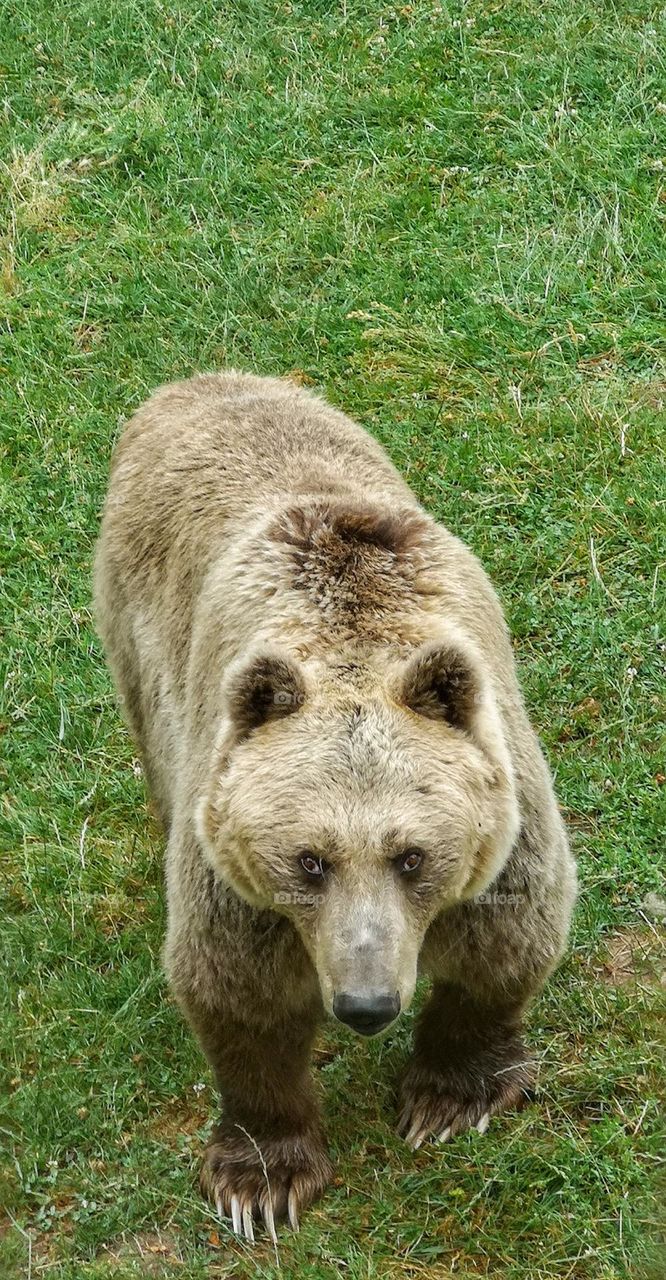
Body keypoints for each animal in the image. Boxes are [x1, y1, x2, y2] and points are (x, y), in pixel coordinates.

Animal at [93, 370, 576, 1241]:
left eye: (413, 855)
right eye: (308, 860)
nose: (365, 1004)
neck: (356, 640)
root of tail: (198, 382)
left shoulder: (506, 820)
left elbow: (506, 945)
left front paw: (449, 1099)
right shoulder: (233, 871)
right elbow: (236, 993)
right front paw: (261, 1178)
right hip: (139, 640)